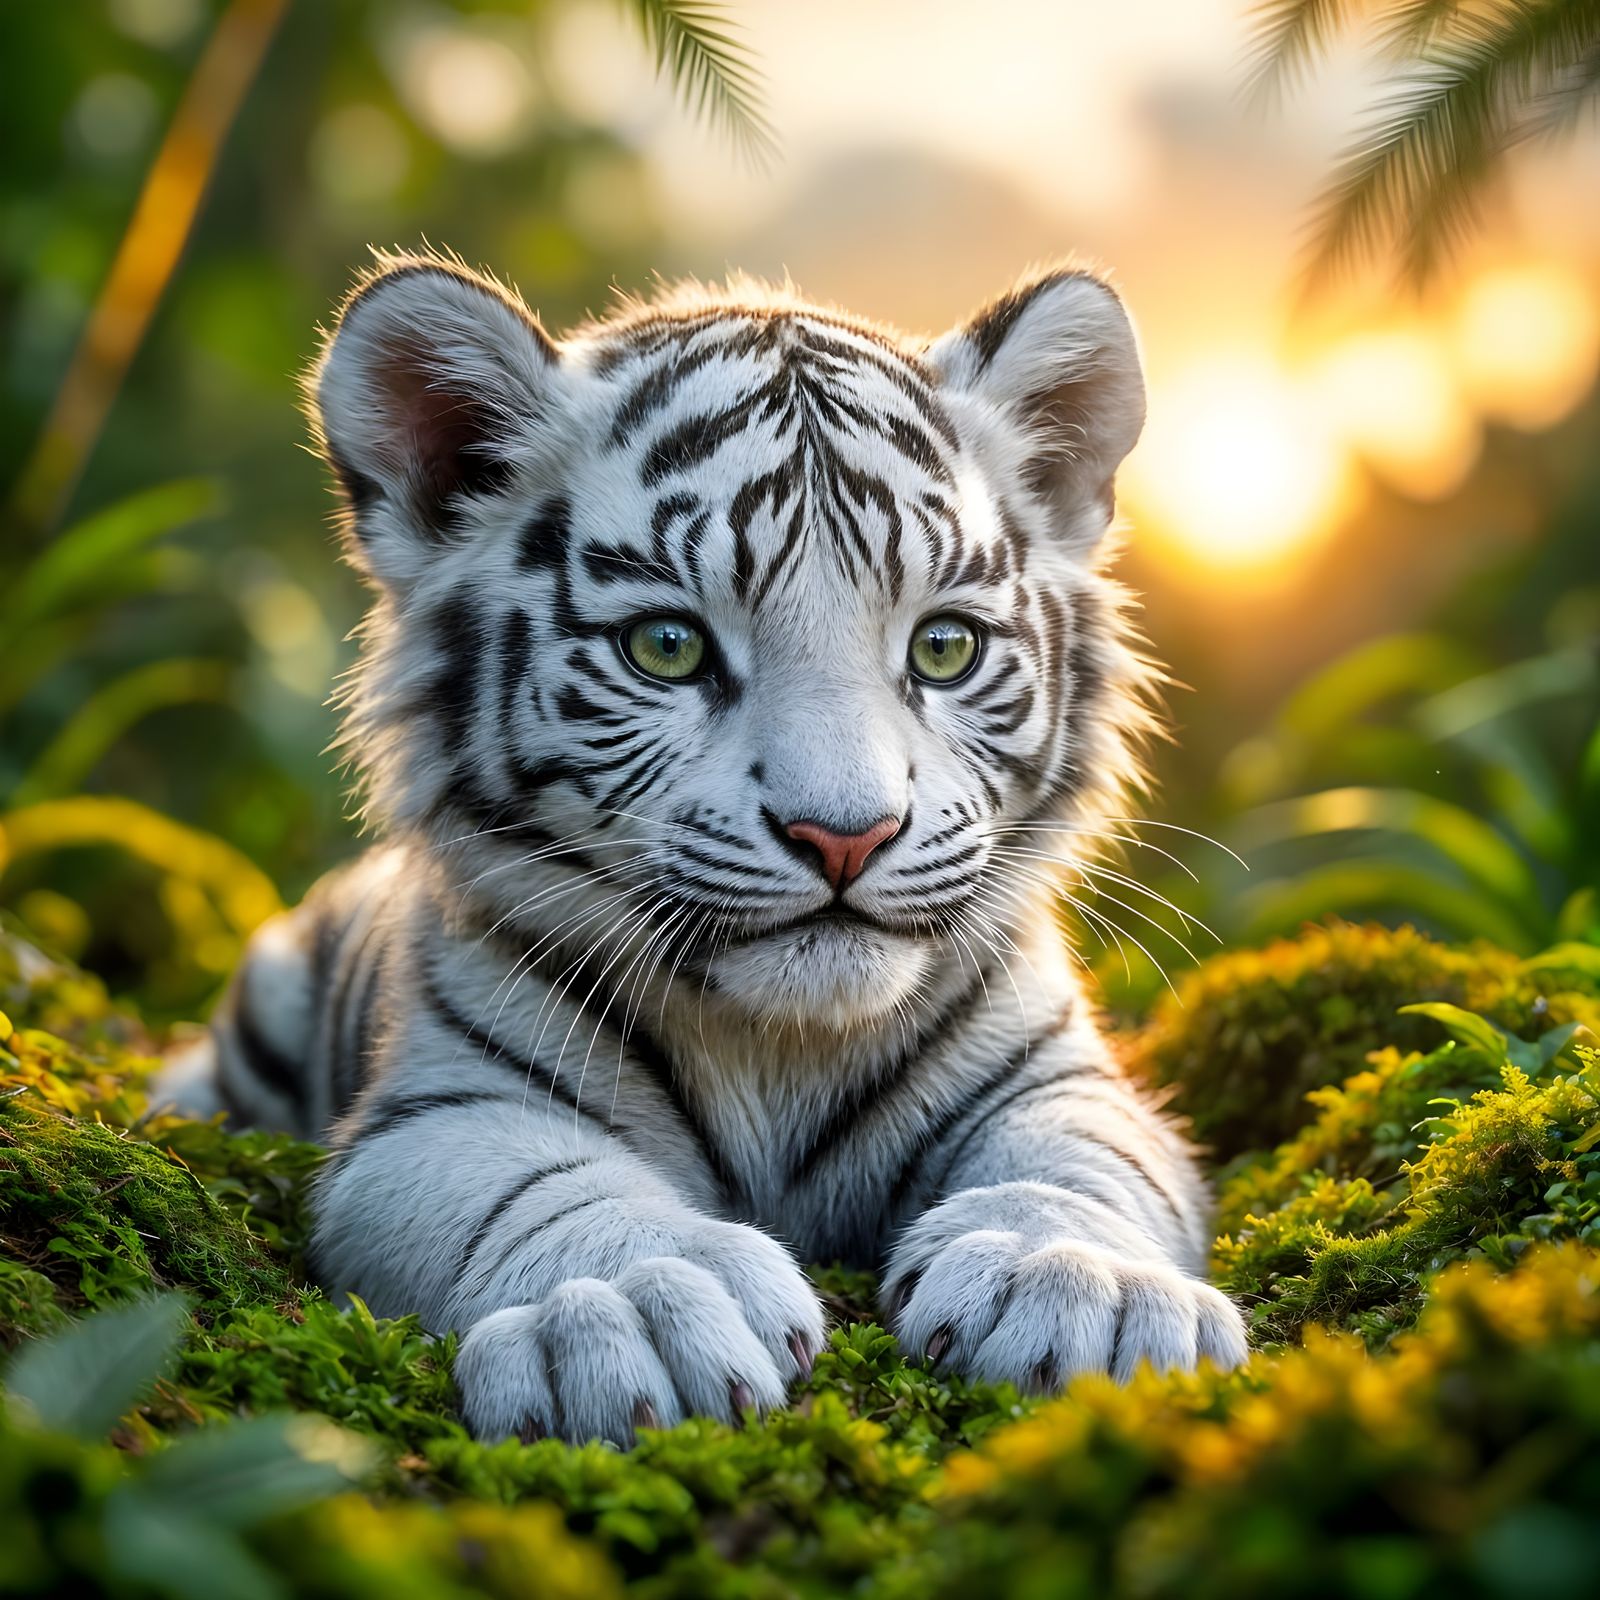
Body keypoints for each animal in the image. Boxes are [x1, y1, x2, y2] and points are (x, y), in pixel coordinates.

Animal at [159, 249, 1248, 1445]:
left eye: (944, 648)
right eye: (668, 647)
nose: (845, 835)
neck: (780, 1044)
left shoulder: (1061, 1076)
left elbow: (1082, 1163)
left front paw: (1079, 1286)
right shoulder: (445, 1106)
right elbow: (538, 1184)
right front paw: (634, 1306)